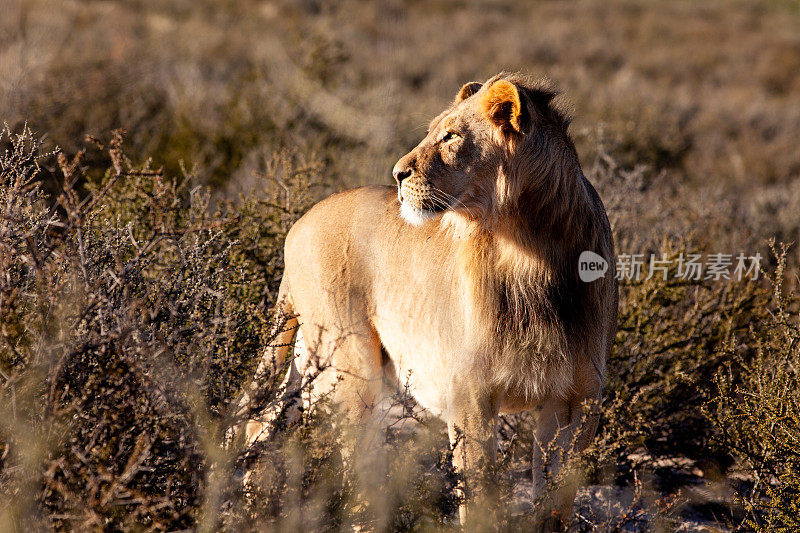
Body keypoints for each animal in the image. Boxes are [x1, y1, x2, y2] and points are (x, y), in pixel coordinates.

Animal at [244, 72, 620, 524]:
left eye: (451, 136)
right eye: (431, 132)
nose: (397, 174)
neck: (530, 252)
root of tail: (297, 225)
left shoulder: (576, 404)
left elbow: (554, 505)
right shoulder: (470, 398)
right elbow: (479, 502)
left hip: (314, 359)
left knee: (262, 421)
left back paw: (254, 508)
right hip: (350, 369)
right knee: (354, 467)